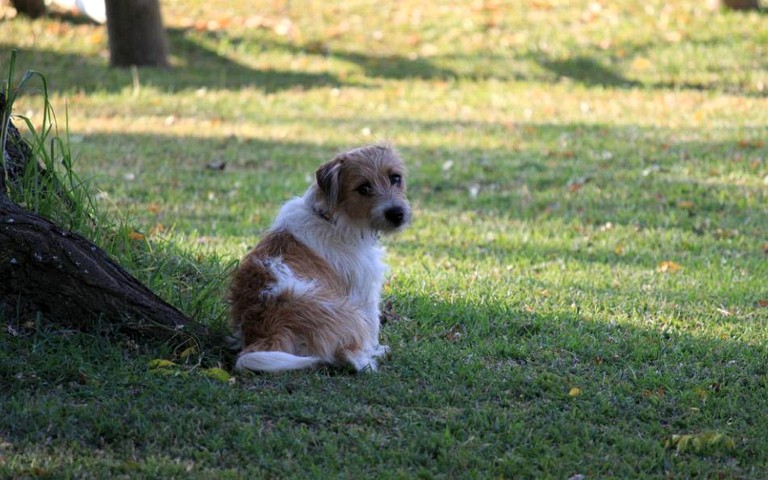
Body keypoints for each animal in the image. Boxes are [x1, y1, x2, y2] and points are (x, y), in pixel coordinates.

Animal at [228, 144, 412, 374]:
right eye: (363, 188)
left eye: (395, 177)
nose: (397, 214)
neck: (330, 218)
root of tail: (266, 330)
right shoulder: (365, 291)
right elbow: (373, 327)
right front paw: (376, 348)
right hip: (350, 314)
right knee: (349, 357)